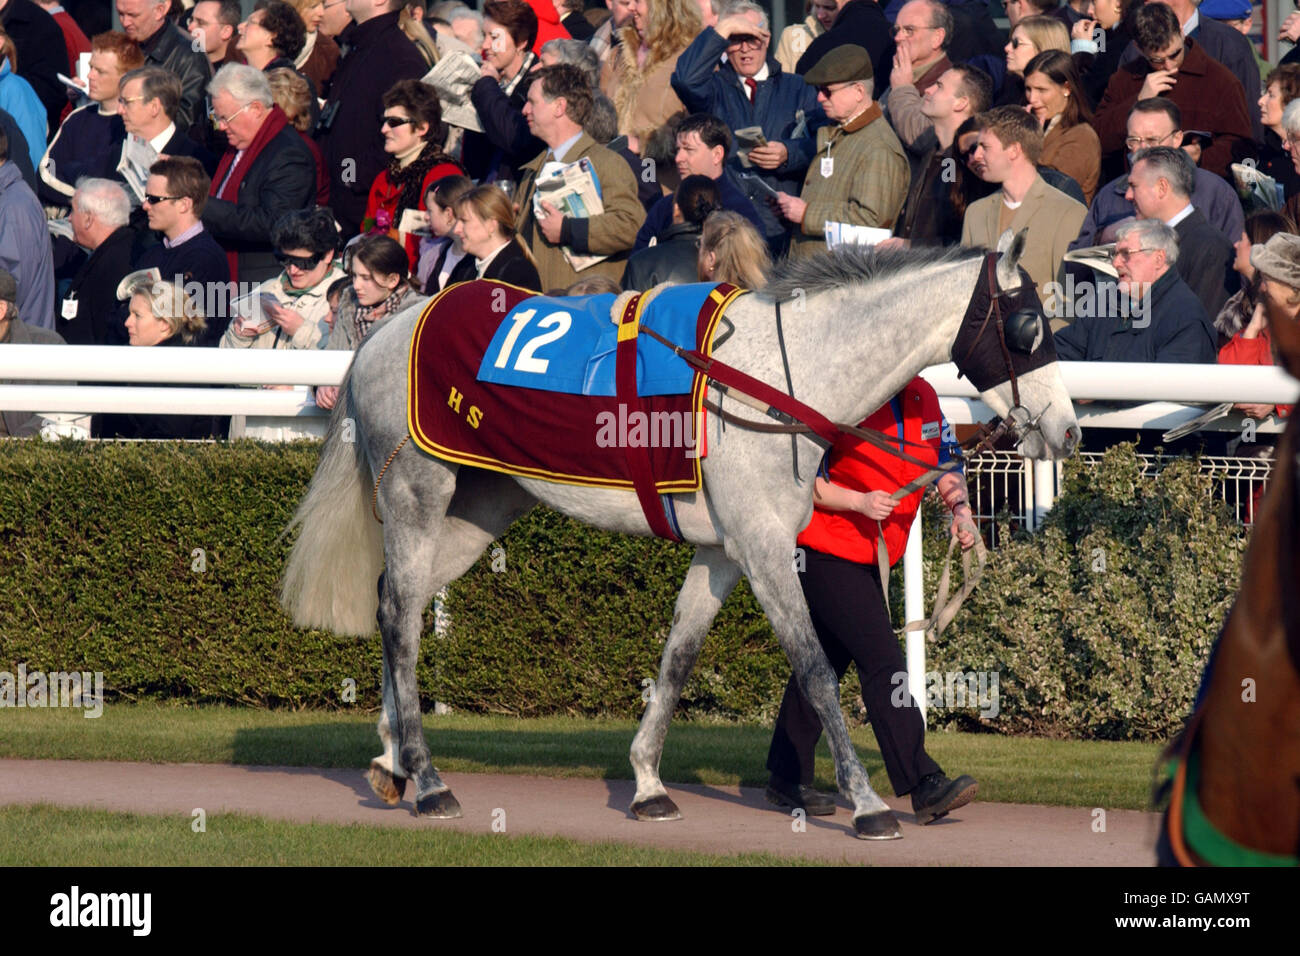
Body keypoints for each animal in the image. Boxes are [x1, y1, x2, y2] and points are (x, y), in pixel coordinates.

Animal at [287, 235, 1086, 842]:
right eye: (1029, 327)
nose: (1069, 430)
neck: (779, 378)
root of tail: (385, 332)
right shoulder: (763, 545)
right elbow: (817, 670)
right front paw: (866, 804)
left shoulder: (723, 550)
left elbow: (679, 655)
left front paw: (647, 784)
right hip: (418, 491)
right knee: (398, 615)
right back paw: (427, 780)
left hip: (483, 507)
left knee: (397, 602)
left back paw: (392, 760)